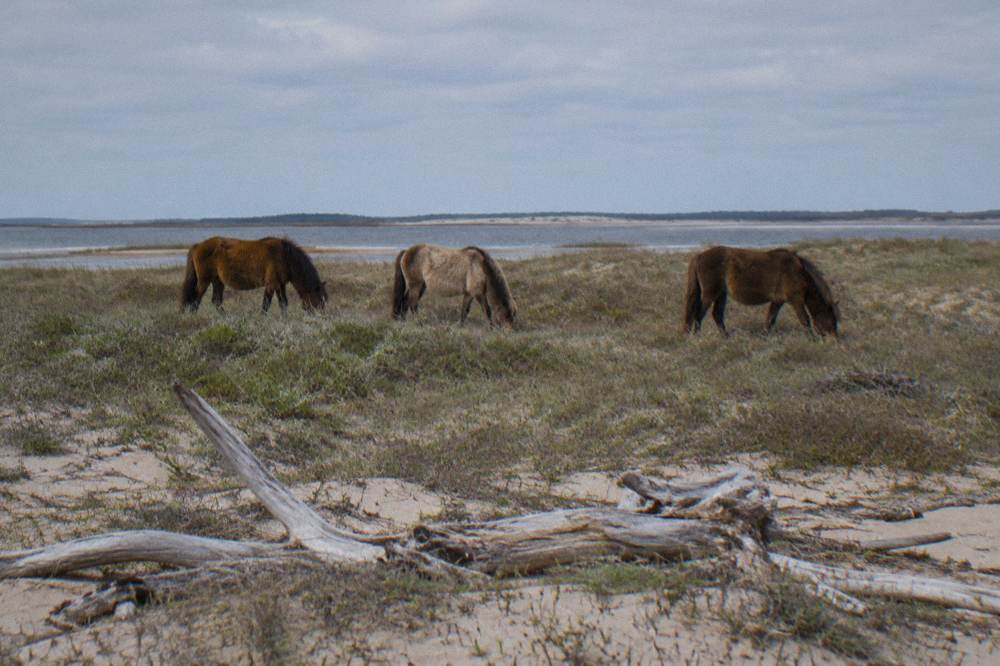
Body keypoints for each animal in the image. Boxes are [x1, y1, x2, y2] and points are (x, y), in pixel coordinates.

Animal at [180, 236, 328, 314]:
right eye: (320, 300)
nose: (321, 317)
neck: (285, 256)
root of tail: (197, 246)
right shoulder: (272, 284)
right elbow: (266, 304)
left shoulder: (280, 284)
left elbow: (283, 304)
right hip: (204, 281)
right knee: (196, 299)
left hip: (218, 281)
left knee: (216, 301)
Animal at [683, 246, 839, 337]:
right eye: (832, 319)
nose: (835, 340)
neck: (798, 271)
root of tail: (699, 256)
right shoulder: (796, 300)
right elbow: (805, 320)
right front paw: (812, 339)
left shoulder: (778, 301)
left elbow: (770, 320)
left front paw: (764, 336)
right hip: (710, 294)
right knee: (699, 314)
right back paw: (697, 336)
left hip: (721, 294)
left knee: (717, 315)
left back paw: (725, 337)